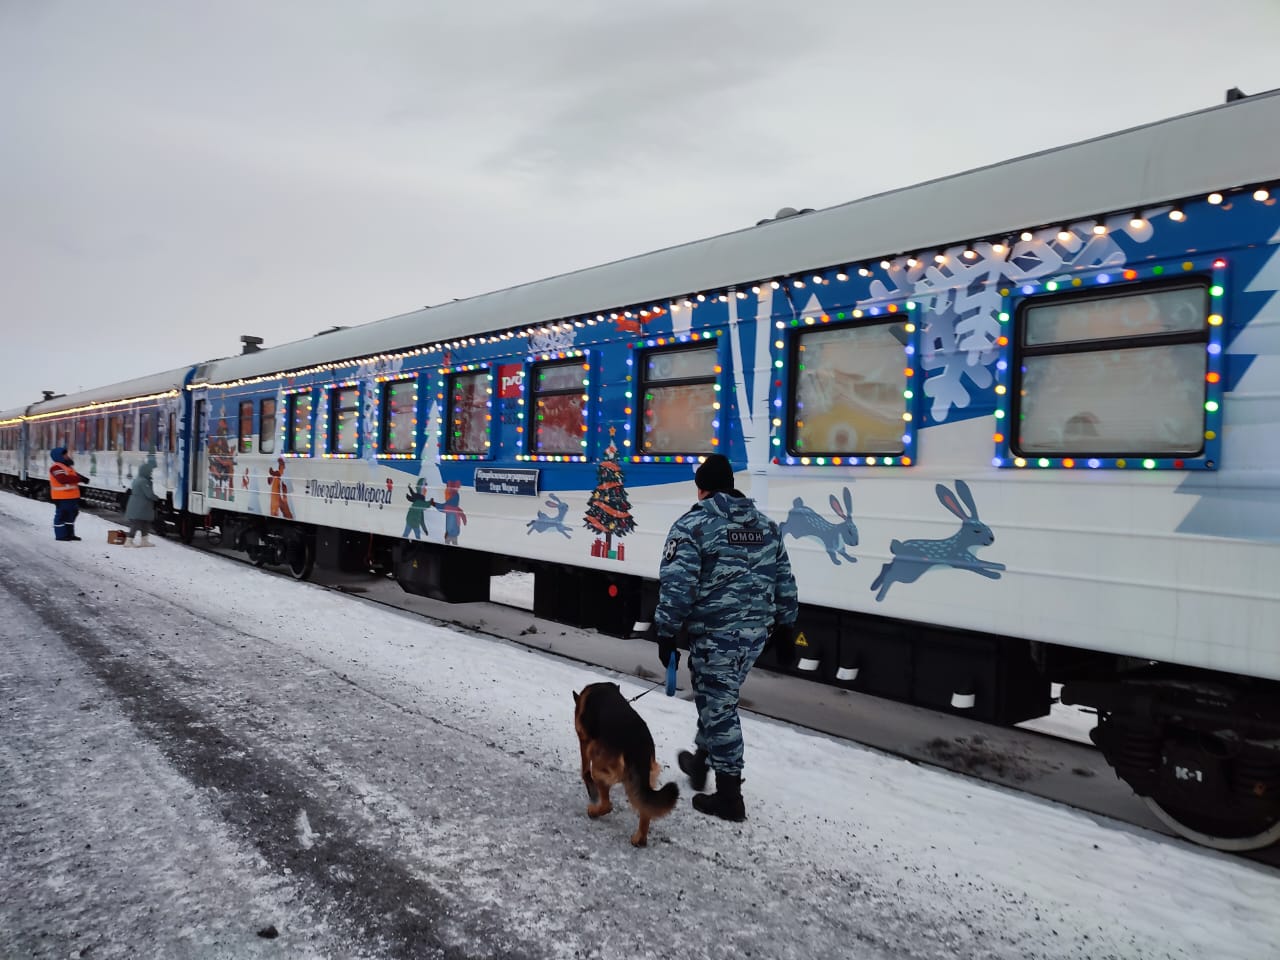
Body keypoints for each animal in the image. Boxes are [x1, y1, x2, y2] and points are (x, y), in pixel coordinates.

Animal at [573, 686, 680, 849]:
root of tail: (638, 745)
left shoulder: (584, 741)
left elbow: (585, 770)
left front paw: (591, 789)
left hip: (600, 764)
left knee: (608, 804)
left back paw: (594, 811)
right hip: (644, 777)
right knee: (645, 806)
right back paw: (640, 839)